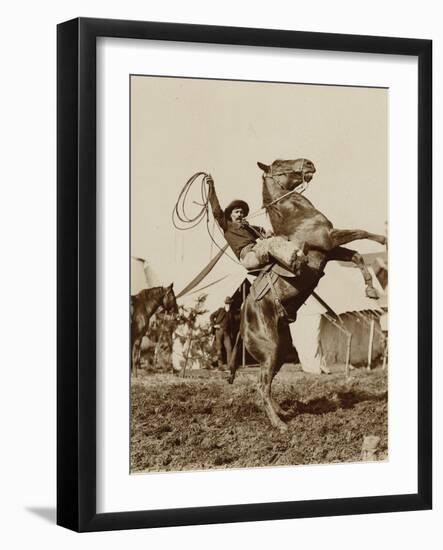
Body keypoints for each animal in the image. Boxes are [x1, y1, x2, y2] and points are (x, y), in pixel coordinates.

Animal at [231, 157, 386, 434]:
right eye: (279, 164)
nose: (308, 163)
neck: (296, 216)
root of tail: (243, 322)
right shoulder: (330, 239)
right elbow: (362, 232)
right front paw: (385, 239)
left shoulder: (331, 251)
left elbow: (357, 256)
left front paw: (370, 289)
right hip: (270, 350)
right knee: (261, 385)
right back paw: (279, 424)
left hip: (280, 352)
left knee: (267, 383)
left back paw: (281, 411)